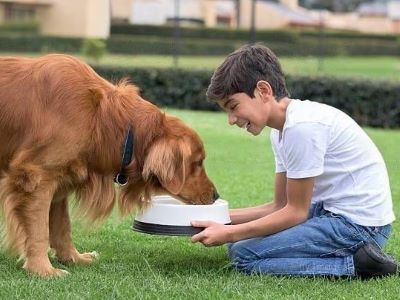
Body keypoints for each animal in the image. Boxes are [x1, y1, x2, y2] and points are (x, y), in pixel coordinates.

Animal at [0, 54, 219, 276]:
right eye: (198, 163)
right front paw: (42, 269)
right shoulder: (36, 176)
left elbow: (62, 226)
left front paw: (73, 258)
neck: (101, 118)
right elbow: (40, 230)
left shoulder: (59, 181)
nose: (216, 195)